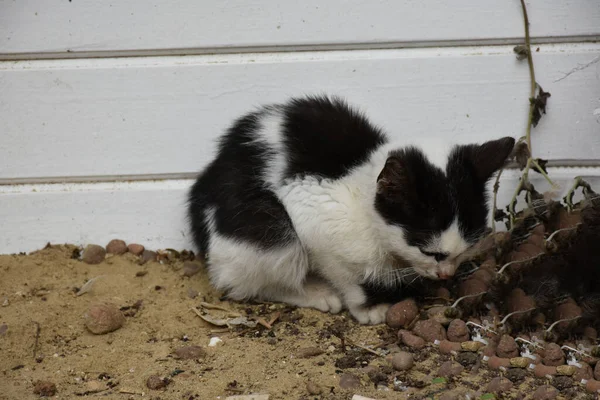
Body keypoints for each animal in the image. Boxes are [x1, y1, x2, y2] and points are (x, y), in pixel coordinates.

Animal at [188, 95, 516, 324]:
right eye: (431, 252)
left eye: (466, 250)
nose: (446, 275)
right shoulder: (311, 215)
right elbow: (345, 274)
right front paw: (366, 306)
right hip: (267, 226)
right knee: (243, 281)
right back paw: (314, 292)